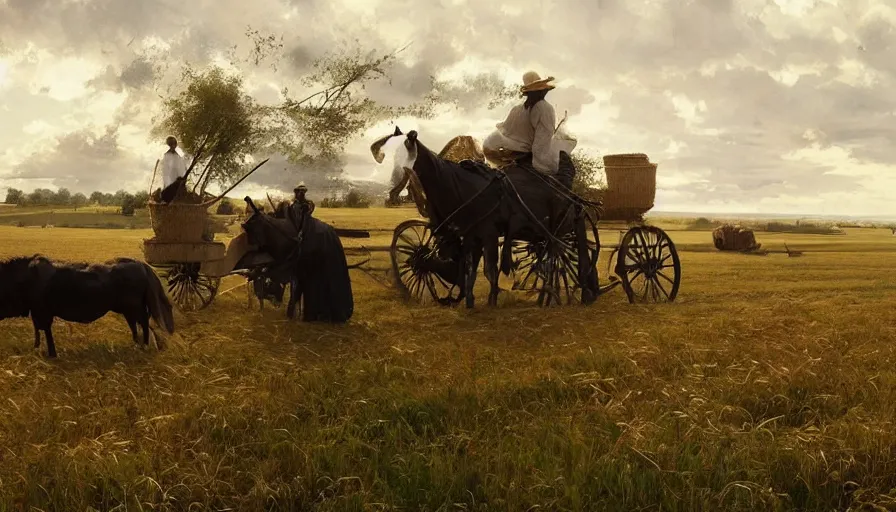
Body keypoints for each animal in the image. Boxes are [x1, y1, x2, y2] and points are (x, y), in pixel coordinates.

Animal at [0, 254, 176, 358]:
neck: (23, 278)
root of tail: (140, 264)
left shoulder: (43, 313)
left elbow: (46, 332)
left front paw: (51, 354)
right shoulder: (37, 313)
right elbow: (40, 331)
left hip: (135, 307)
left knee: (144, 324)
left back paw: (144, 346)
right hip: (128, 309)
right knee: (136, 325)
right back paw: (137, 345)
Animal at [372, 127, 600, 308]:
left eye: (406, 151)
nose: (391, 192)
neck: (462, 186)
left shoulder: (488, 233)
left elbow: (489, 270)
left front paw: (491, 302)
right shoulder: (470, 236)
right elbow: (470, 270)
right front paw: (469, 302)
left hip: (564, 227)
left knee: (571, 251)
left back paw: (578, 291)